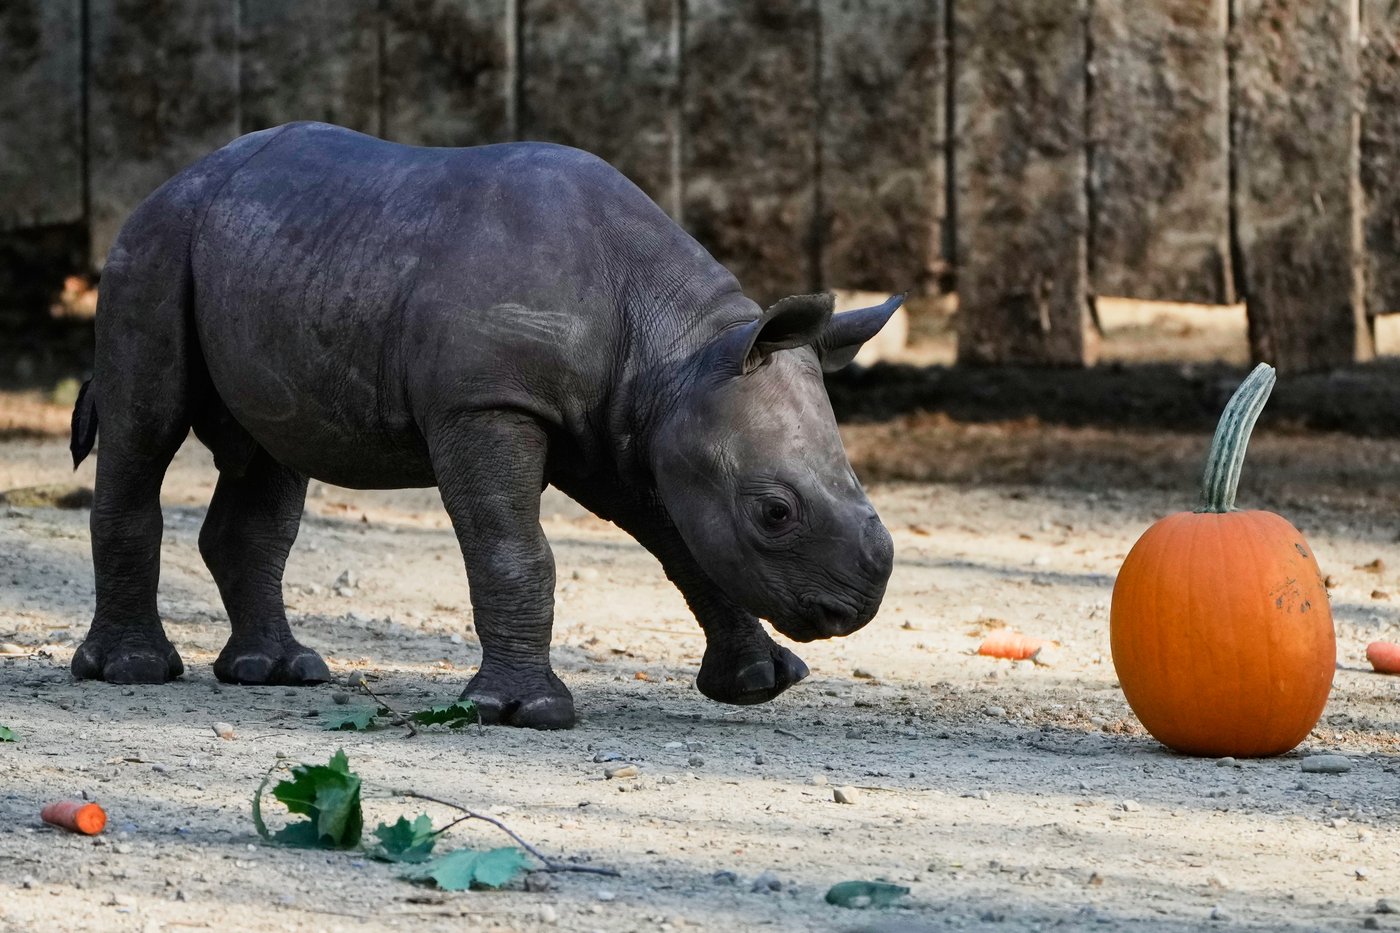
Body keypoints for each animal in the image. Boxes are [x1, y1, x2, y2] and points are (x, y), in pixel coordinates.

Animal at [69, 121, 899, 729]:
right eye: (774, 512)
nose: (859, 603)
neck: (678, 349)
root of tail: (177, 178)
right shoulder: (486, 403)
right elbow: (513, 549)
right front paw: (524, 711)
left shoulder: (631, 431)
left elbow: (687, 547)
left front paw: (760, 682)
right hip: (154, 245)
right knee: (147, 424)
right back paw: (134, 671)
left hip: (268, 254)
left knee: (271, 459)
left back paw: (276, 672)